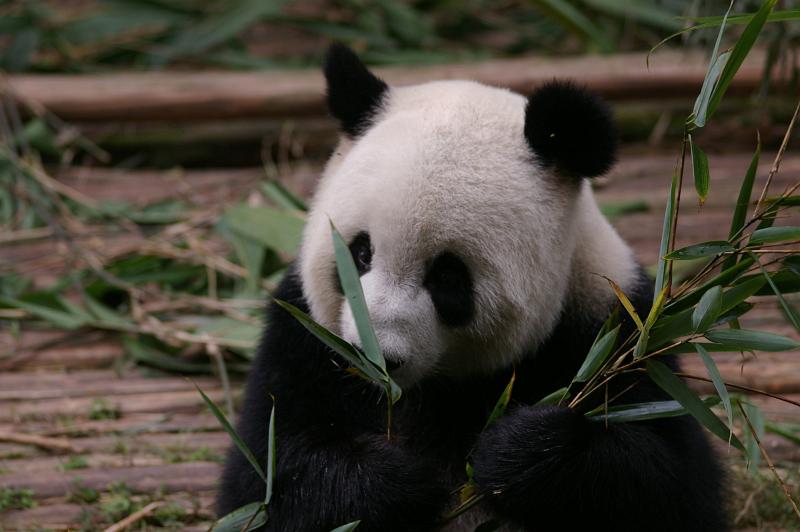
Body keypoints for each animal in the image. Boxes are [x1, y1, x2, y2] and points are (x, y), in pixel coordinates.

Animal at [218, 44, 726, 531]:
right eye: (361, 253)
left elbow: (673, 482)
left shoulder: (614, 326)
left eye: (447, 276)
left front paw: (520, 450)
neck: (425, 391)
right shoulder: (303, 339)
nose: (374, 358)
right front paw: (398, 481)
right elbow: (264, 480)